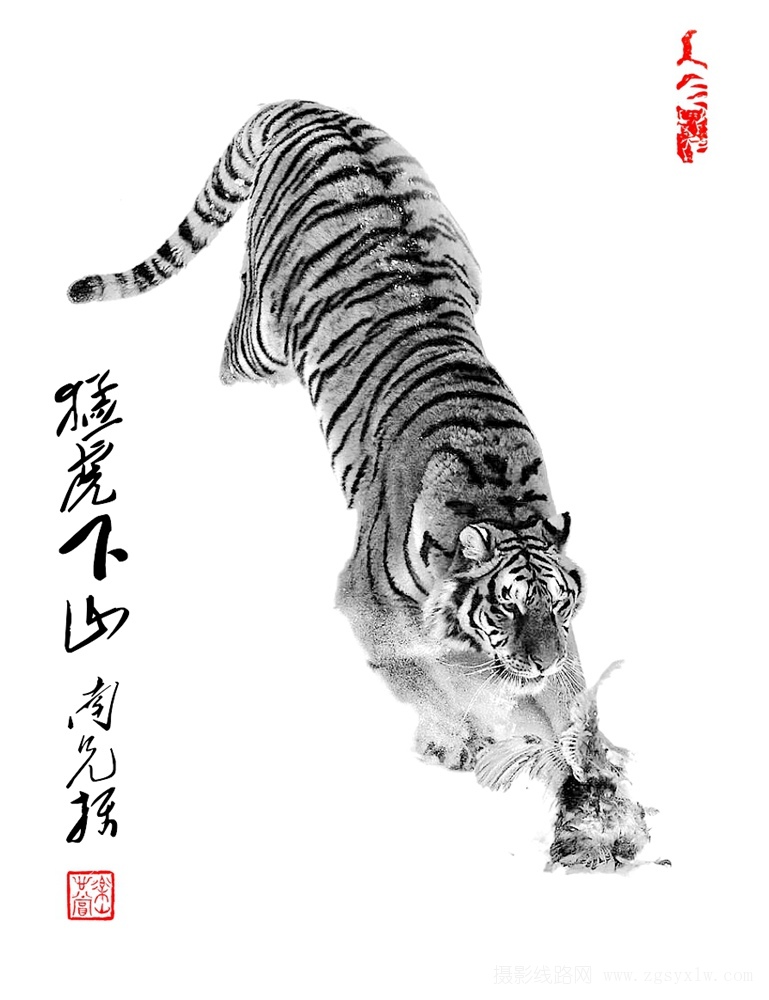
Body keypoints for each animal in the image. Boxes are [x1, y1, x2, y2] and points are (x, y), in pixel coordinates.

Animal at [67, 99, 588, 781]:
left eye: (558, 606)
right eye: (506, 606)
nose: (542, 660)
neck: (500, 496)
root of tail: (307, 106)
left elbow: (572, 693)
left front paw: (589, 757)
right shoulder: (366, 606)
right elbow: (418, 681)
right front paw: (455, 741)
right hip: (260, 337)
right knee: (229, 356)